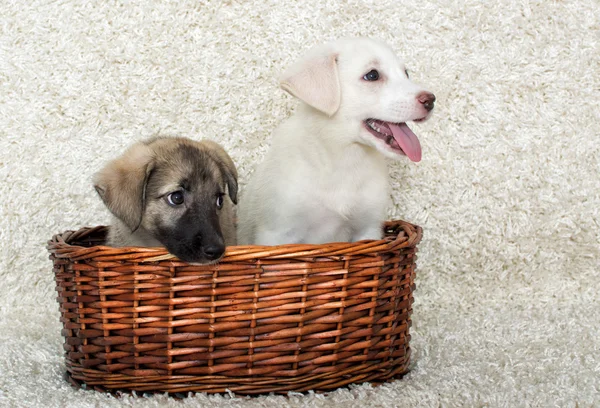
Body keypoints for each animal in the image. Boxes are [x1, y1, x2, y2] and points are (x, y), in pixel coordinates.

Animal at [238, 36, 436, 244]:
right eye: (372, 75)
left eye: (406, 74)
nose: (431, 100)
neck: (346, 155)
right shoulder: (278, 234)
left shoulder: (368, 229)